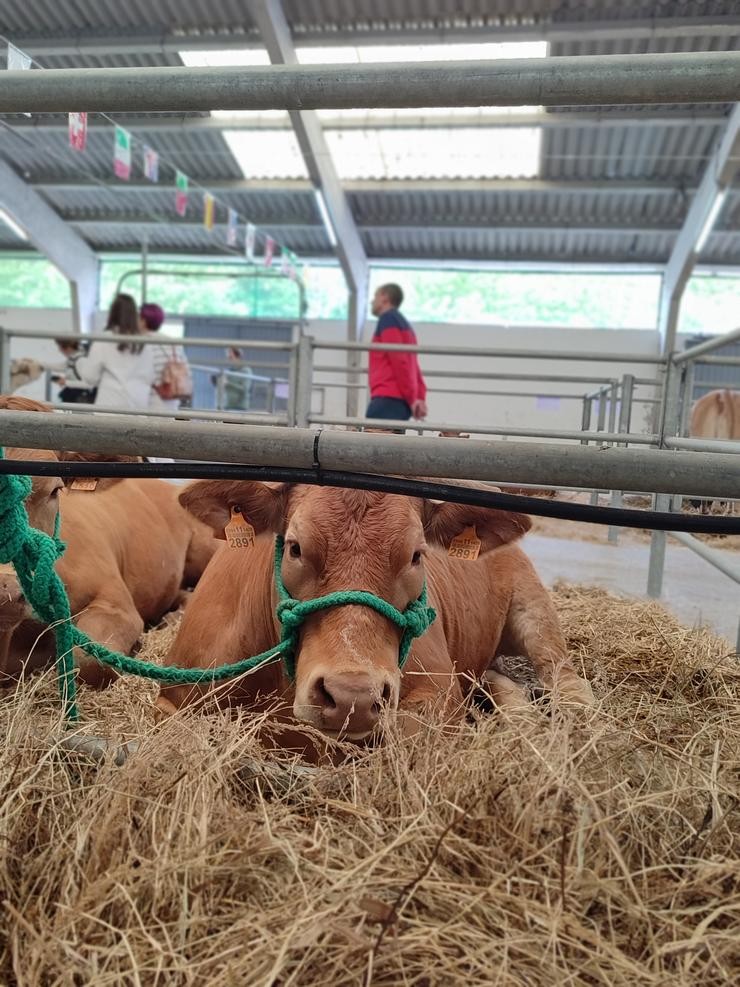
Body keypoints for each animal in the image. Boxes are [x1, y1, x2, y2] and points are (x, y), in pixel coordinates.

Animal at [158, 478, 596, 740]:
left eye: (417, 555)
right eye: (295, 547)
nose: (351, 695)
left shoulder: (440, 696)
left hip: (532, 604)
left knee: (561, 670)